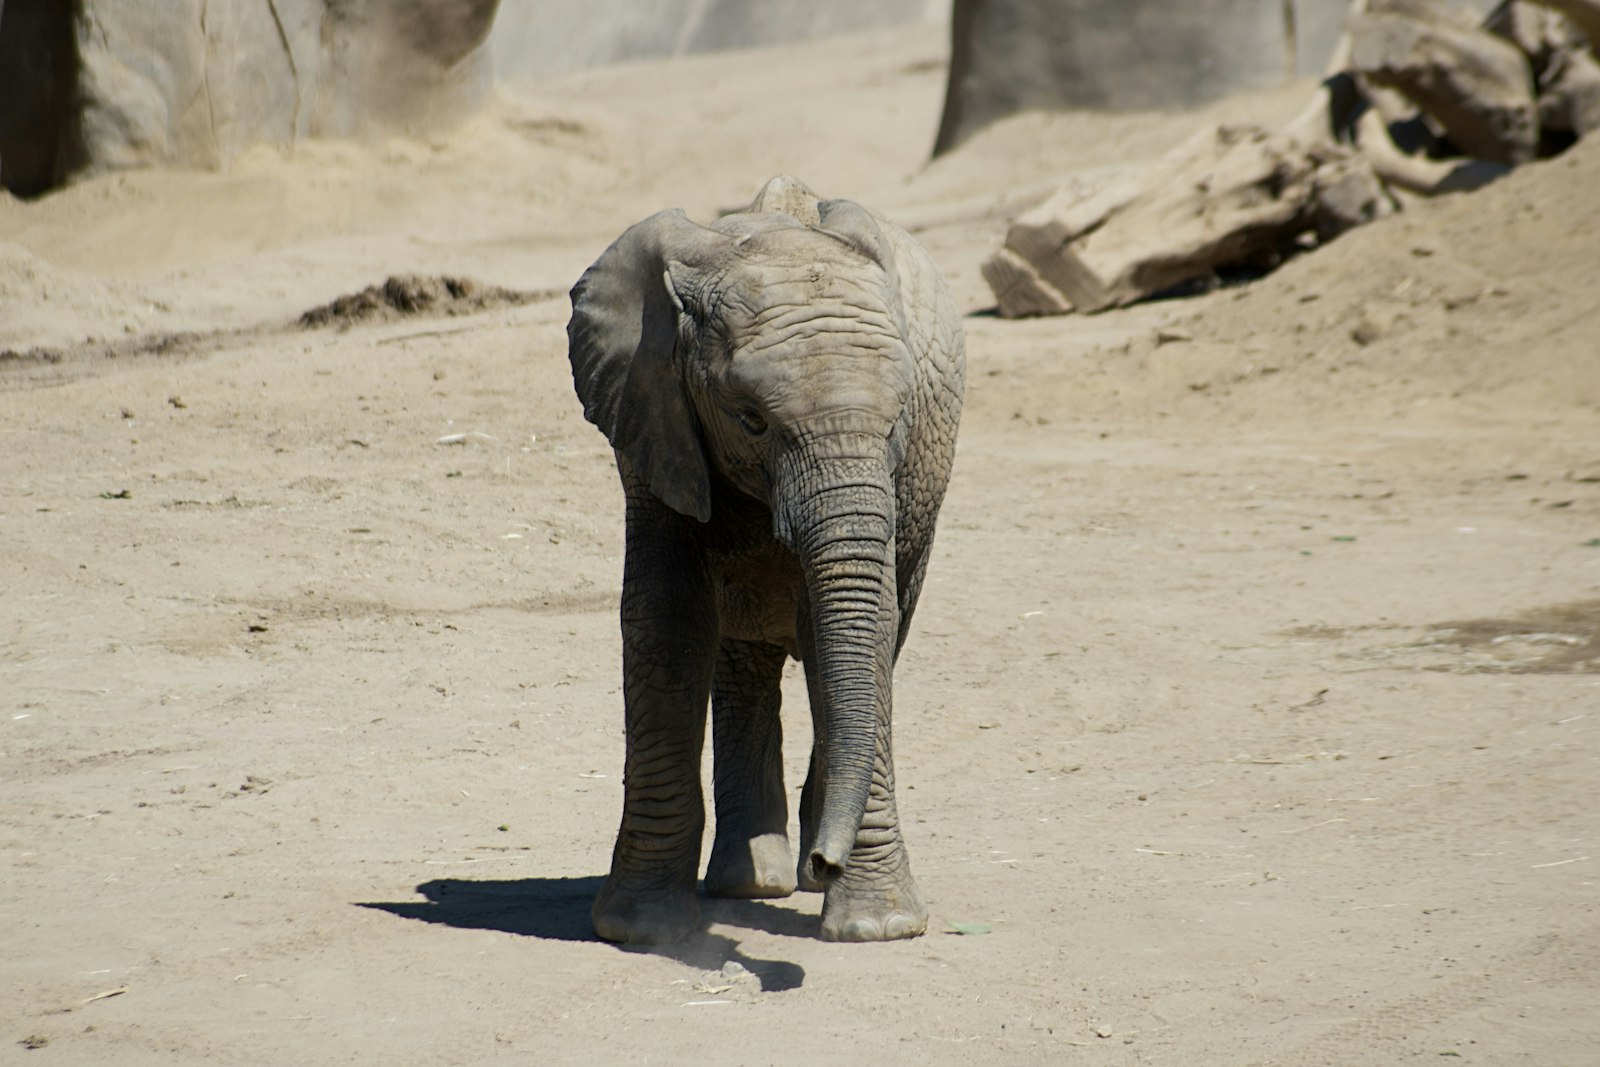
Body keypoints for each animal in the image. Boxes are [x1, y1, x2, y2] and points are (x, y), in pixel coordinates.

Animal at [566, 177, 960, 953]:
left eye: (900, 418)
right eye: (750, 419)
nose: (826, 861)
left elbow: (862, 626)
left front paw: (878, 927)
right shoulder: (650, 415)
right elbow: (666, 619)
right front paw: (642, 928)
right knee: (744, 656)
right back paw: (756, 883)